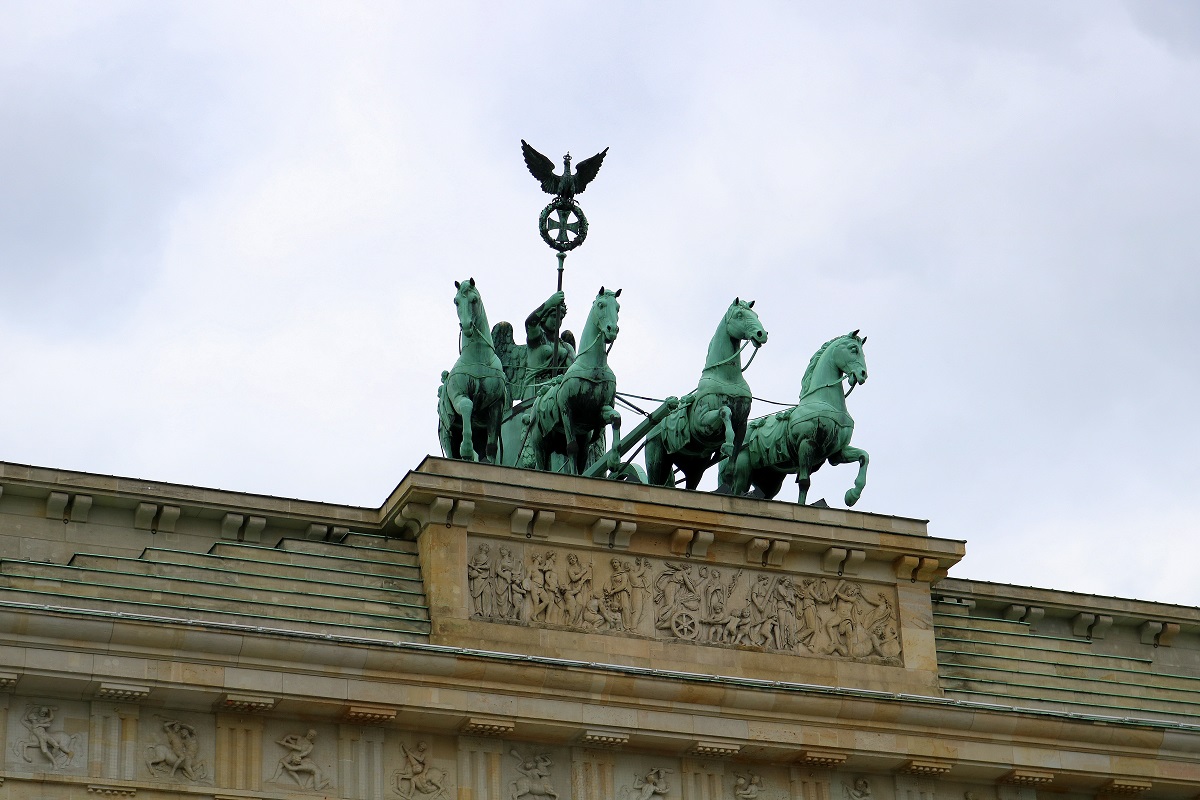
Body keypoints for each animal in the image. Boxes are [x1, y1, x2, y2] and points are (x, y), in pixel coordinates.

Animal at [439, 280, 508, 462]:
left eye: (474, 300)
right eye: (456, 301)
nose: (467, 326)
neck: (478, 358)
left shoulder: (496, 405)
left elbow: (492, 447)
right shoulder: (459, 395)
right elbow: (466, 405)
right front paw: (467, 449)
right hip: (446, 434)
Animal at [525, 287, 624, 474]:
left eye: (618, 307)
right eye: (601, 304)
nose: (612, 330)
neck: (594, 367)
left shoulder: (601, 410)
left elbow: (616, 418)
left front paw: (614, 461)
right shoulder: (567, 409)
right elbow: (572, 448)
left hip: (576, 439)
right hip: (539, 443)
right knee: (543, 463)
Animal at [648, 298, 768, 489]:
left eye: (756, 315)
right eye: (739, 315)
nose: (761, 334)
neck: (727, 377)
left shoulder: (742, 423)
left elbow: (734, 457)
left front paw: (728, 472)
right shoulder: (701, 422)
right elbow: (725, 411)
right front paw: (726, 444)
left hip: (695, 466)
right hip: (657, 458)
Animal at [724, 331, 868, 506]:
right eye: (853, 349)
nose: (863, 374)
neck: (824, 401)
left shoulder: (837, 452)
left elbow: (864, 456)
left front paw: (852, 495)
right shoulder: (807, 443)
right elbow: (804, 482)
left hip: (769, 480)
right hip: (742, 468)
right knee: (736, 490)